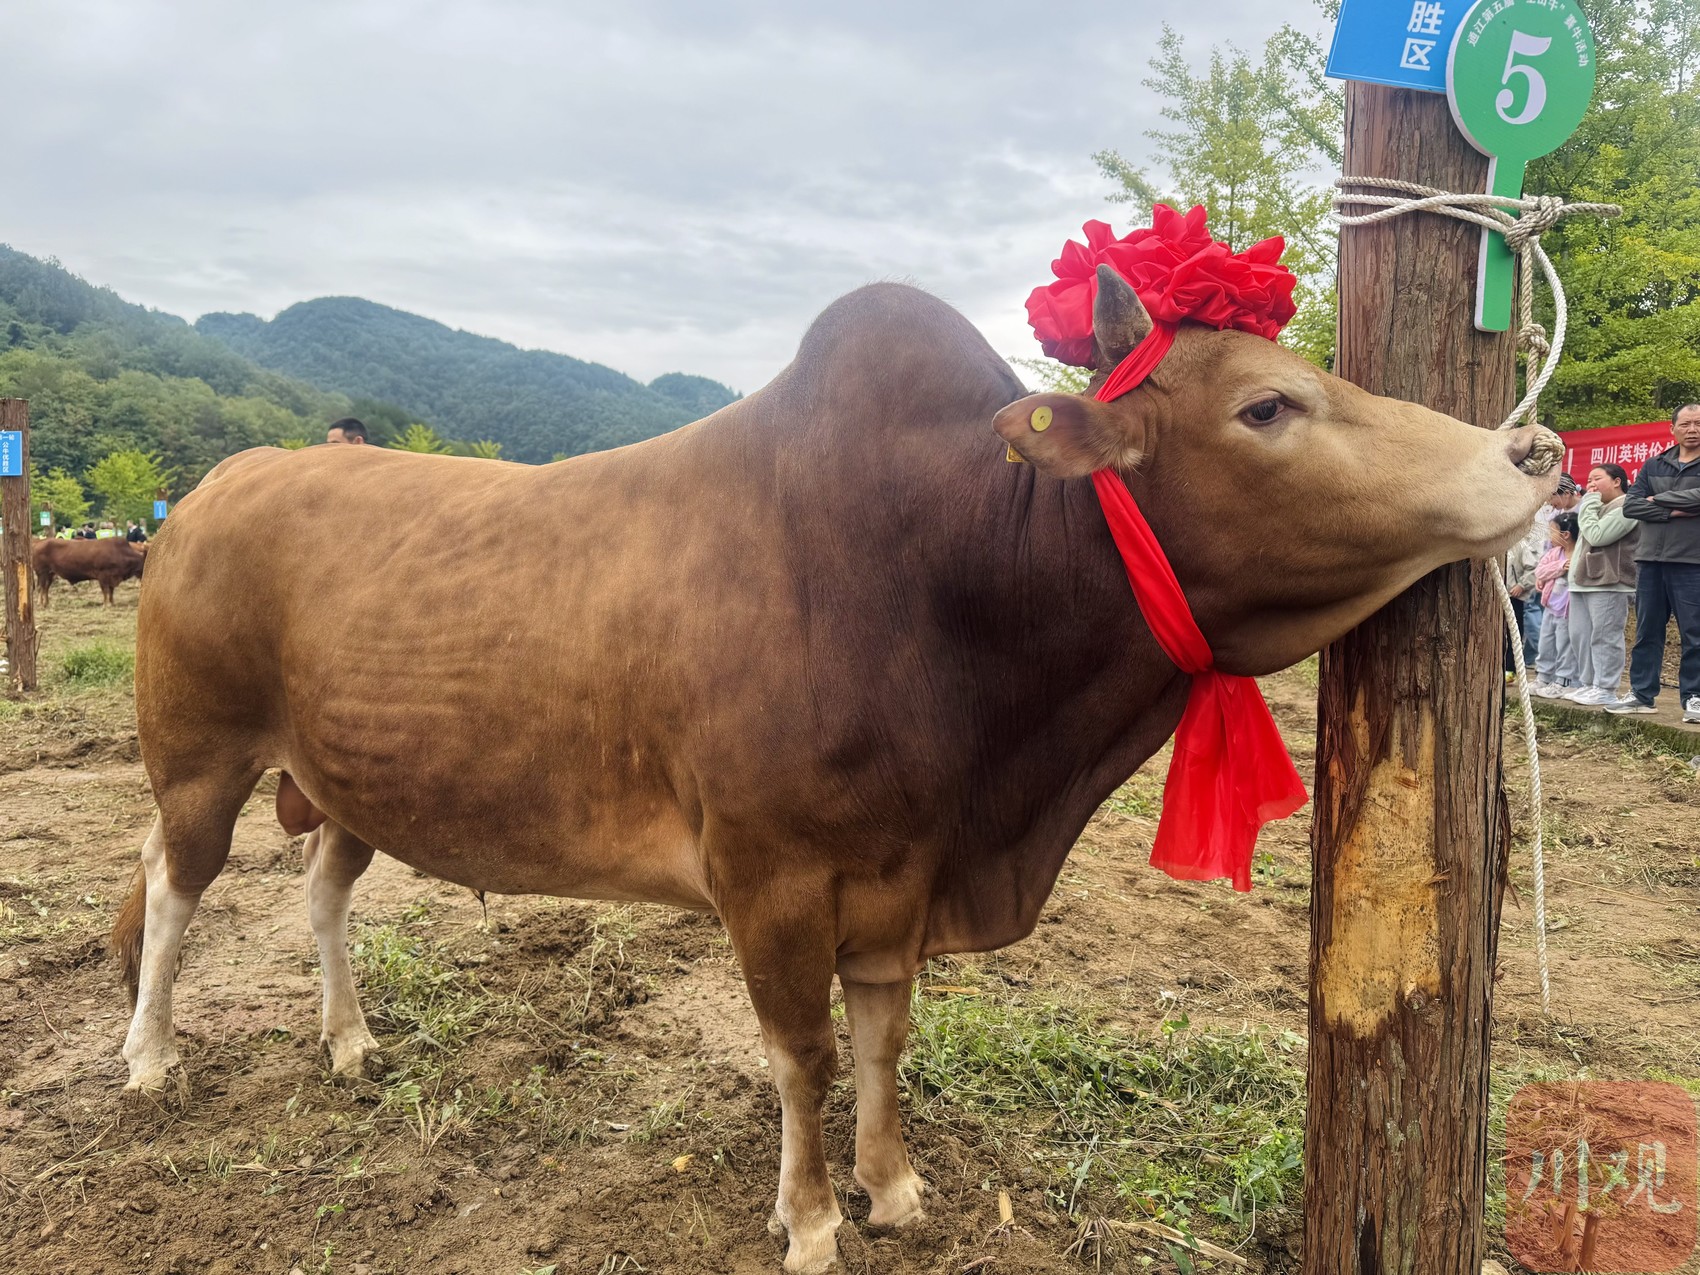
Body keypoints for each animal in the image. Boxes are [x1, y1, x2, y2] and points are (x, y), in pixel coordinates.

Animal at [112, 275, 1559, 1273]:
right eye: (1266, 405)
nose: (1531, 453)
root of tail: (223, 481)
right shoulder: (769, 873)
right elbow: (800, 1048)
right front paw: (809, 1218)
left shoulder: (898, 870)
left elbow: (880, 1034)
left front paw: (895, 1184)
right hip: (196, 756)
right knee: (173, 891)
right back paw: (148, 1056)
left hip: (343, 773)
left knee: (322, 886)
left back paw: (350, 1038)